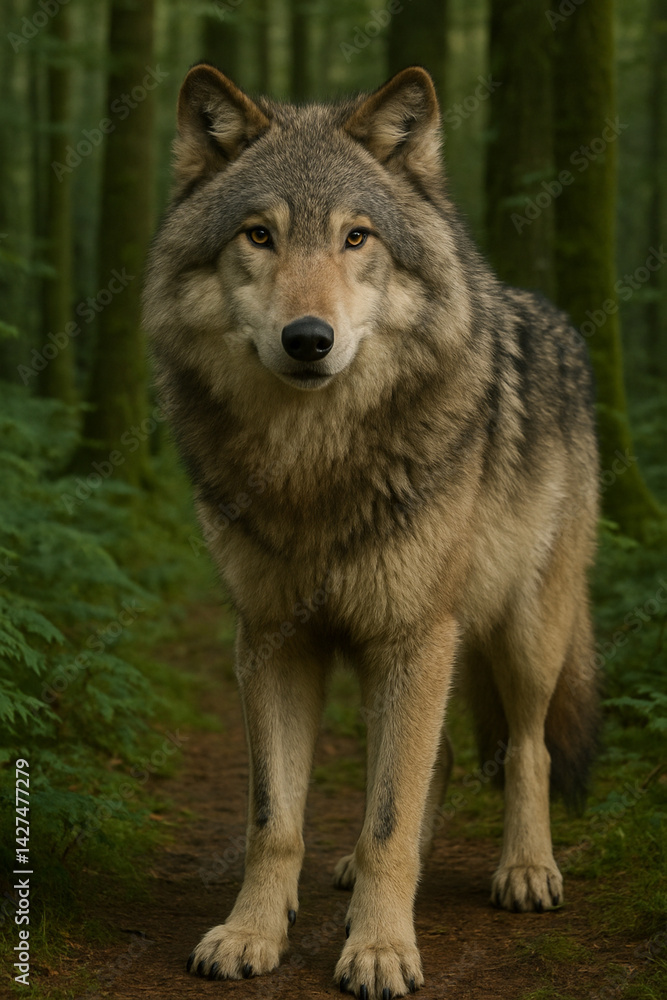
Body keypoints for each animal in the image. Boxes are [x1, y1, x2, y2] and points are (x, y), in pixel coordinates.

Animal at [142, 64, 599, 999]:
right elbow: (276, 820)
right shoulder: (273, 640)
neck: (313, 467)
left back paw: (525, 870)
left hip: (521, 634)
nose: (307, 339)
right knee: (443, 761)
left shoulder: (413, 634)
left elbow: (389, 817)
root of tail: (548, 314)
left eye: (356, 238)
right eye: (259, 235)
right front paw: (253, 932)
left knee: (526, 748)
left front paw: (382, 950)